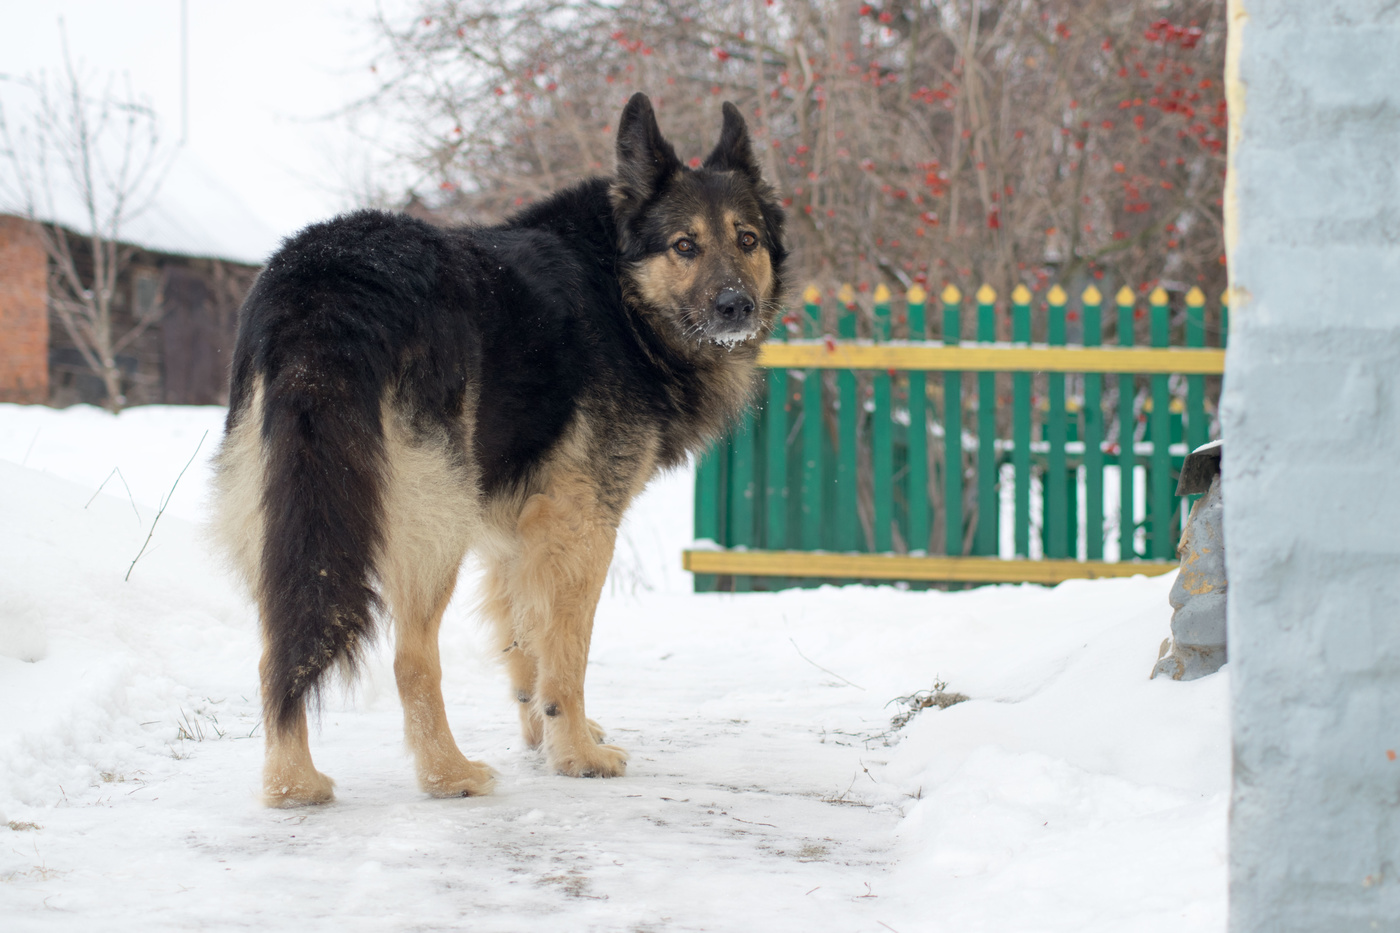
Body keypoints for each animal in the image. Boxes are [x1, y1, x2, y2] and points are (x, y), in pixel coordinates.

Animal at [208, 95, 789, 806]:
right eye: (685, 245)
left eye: (747, 240)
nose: (737, 306)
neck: (618, 292)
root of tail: (329, 282)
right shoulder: (581, 525)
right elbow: (565, 655)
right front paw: (576, 753)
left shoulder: (519, 533)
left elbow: (525, 646)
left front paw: (543, 736)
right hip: (432, 525)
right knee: (411, 657)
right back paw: (448, 775)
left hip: (289, 520)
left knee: (280, 649)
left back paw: (293, 784)